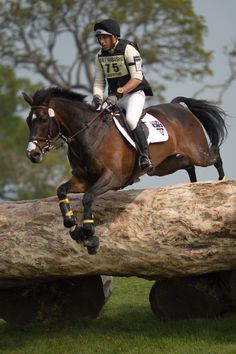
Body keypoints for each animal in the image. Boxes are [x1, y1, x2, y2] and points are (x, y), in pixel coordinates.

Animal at [23, 88, 228, 254]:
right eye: (28, 121)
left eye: (43, 119)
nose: (32, 154)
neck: (88, 134)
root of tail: (178, 106)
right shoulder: (83, 179)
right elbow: (61, 191)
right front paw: (72, 225)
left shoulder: (112, 178)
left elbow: (88, 198)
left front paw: (89, 234)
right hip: (162, 167)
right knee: (188, 164)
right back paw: (194, 187)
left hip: (197, 152)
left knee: (215, 155)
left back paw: (222, 182)